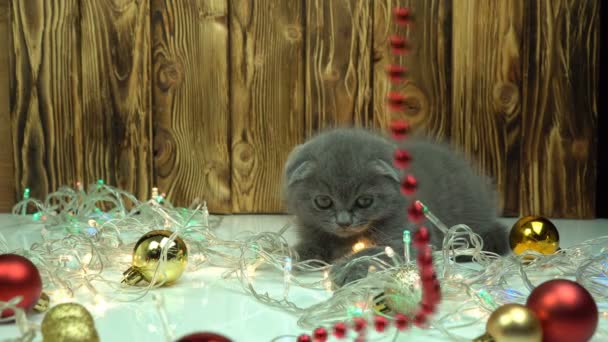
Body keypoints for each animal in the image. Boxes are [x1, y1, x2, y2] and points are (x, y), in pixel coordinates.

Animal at [282, 127, 510, 286]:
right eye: (323, 201)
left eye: (364, 201)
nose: (344, 222)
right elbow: (313, 243)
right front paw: (298, 255)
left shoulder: (407, 235)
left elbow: (375, 252)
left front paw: (347, 268)